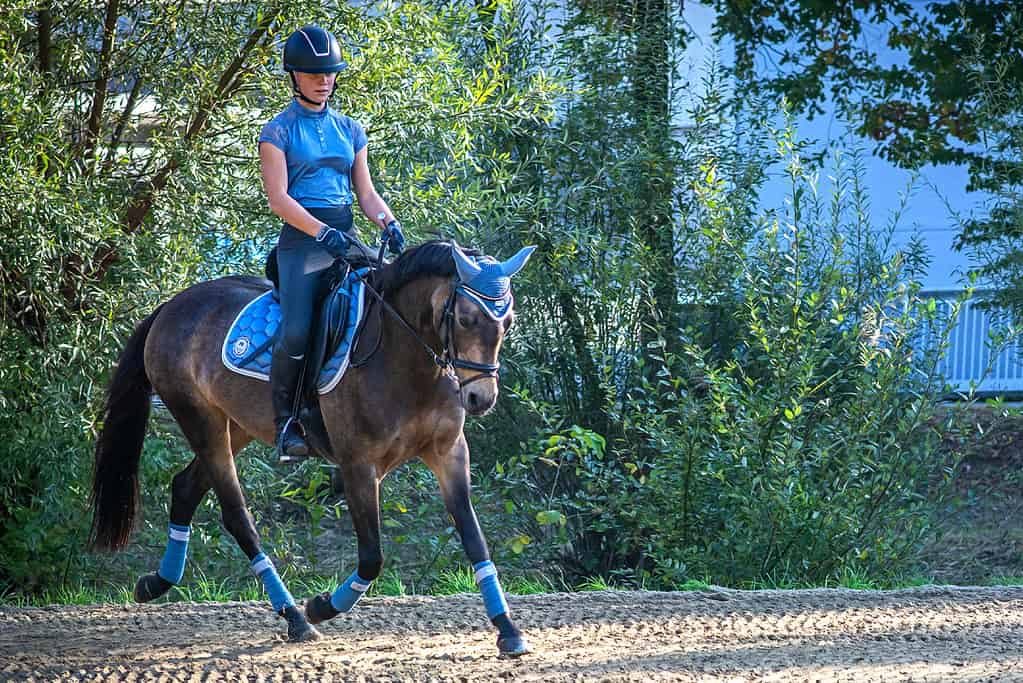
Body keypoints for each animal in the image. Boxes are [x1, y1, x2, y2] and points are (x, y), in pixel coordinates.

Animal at [88, 240, 535, 655]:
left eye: (508, 321)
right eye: (465, 318)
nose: (480, 398)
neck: (406, 356)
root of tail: (171, 307)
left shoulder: (449, 453)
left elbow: (474, 538)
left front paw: (508, 629)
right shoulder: (358, 464)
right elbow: (372, 557)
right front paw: (322, 606)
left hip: (236, 426)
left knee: (185, 487)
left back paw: (156, 582)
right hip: (201, 420)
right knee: (236, 516)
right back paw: (295, 617)